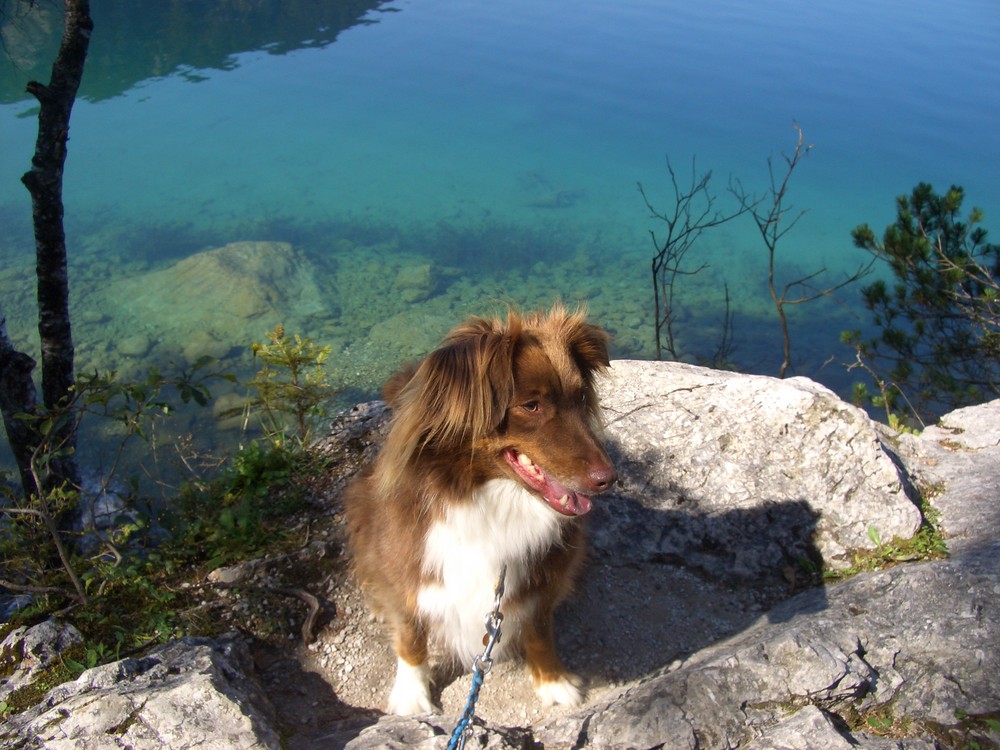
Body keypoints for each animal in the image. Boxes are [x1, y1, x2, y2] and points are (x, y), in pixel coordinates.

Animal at [346, 306, 616, 716]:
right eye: (531, 405)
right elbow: (411, 634)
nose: (609, 479)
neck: (489, 498)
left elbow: (540, 629)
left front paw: (553, 680)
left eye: (581, 394)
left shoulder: (542, 577)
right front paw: (412, 695)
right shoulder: (408, 564)